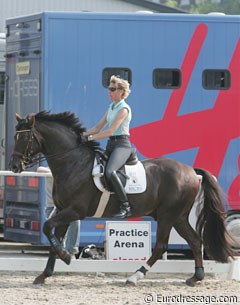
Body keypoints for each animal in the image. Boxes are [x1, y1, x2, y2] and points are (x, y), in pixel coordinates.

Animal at [8, 111, 234, 284]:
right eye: (15, 136)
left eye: (24, 138)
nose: (14, 166)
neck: (73, 163)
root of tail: (190, 171)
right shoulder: (63, 210)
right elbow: (53, 239)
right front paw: (44, 275)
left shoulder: (74, 211)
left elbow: (47, 228)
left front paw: (66, 257)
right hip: (177, 216)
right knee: (195, 241)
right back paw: (196, 277)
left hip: (167, 215)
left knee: (161, 246)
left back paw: (135, 276)